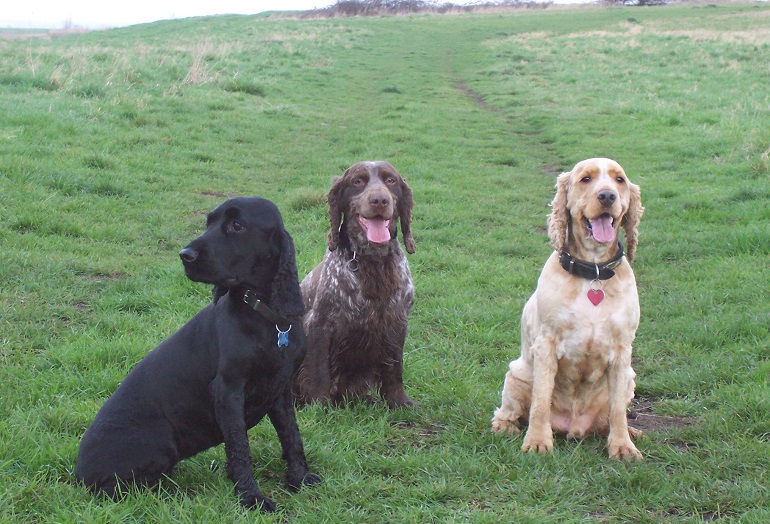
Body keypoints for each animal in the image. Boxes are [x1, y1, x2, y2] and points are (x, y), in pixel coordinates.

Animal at [74, 198, 318, 512]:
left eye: (237, 225)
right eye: (209, 222)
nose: (185, 256)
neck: (265, 318)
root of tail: (78, 473)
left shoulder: (280, 390)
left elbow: (291, 435)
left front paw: (299, 478)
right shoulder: (228, 391)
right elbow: (240, 447)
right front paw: (251, 497)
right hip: (161, 444)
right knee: (115, 490)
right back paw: (172, 492)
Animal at [292, 162, 414, 408]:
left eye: (391, 180)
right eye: (358, 181)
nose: (379, 200)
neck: (373, 261)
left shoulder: (397, 323)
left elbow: (394, 368)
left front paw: (398, 401)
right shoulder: (320, 324)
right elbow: (319, 371)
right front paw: (320, 406)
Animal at [492, 158, 640, 460]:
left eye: (619, 180)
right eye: (586, 179)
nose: (607, 196)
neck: (593, 272)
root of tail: (573, 427)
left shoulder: (622, 350)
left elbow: (618, 409)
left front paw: (622, 446)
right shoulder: (546, 344)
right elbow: (540, 401)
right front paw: (537, 441)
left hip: (631, 378)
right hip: (516, 375)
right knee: (510, 410)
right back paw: (505, 426)